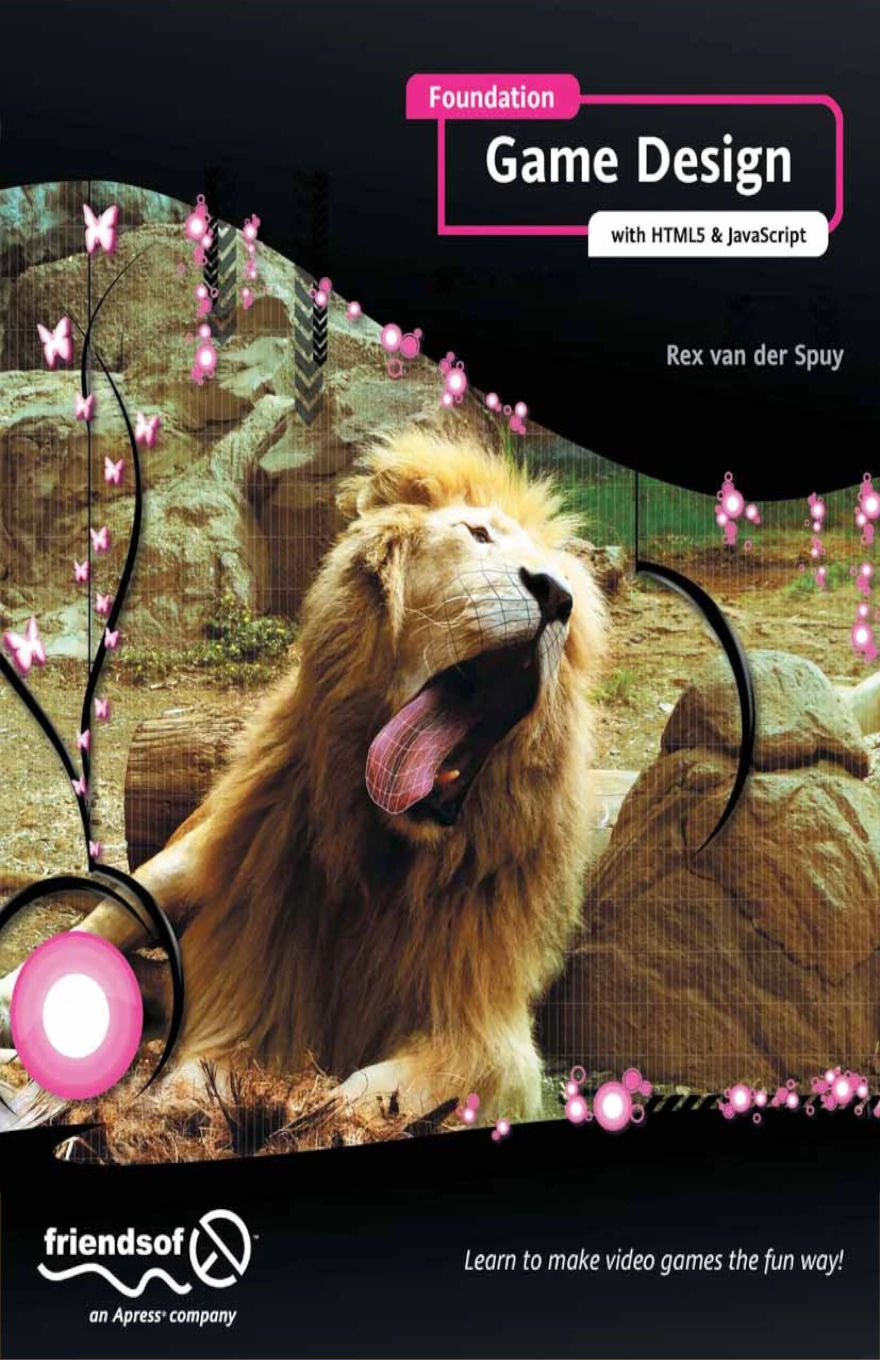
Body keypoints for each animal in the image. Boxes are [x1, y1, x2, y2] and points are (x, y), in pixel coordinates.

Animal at [5, 427, 607, 1121]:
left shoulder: (491, 1030)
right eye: (477, 534)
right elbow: (206, 1062)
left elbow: (378, 1088)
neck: (390, 855)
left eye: (568, 589)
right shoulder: (251, 980)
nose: (557, 596)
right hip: (173, 872)